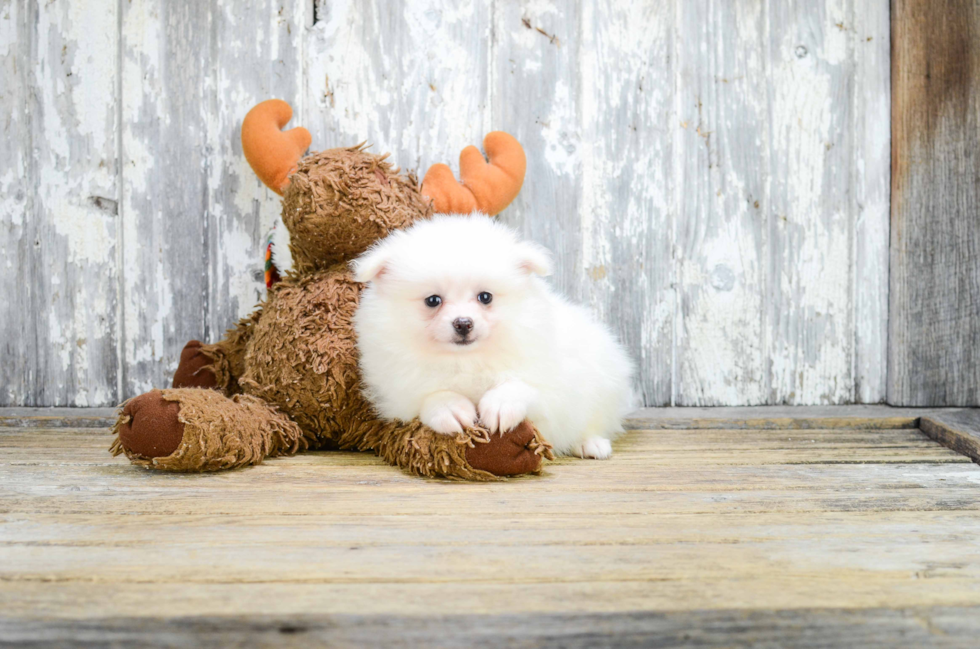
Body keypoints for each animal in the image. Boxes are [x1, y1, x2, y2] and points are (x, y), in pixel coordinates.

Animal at [352, 215, 636, 458]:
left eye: (485, 297)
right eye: (433, 301)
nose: (463, 323)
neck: (466, 359)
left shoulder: (552, 384)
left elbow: (523, 387)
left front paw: (500, 405)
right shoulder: (399, 391)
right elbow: (431, 396)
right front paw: (451, 408)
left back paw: (591, 443)